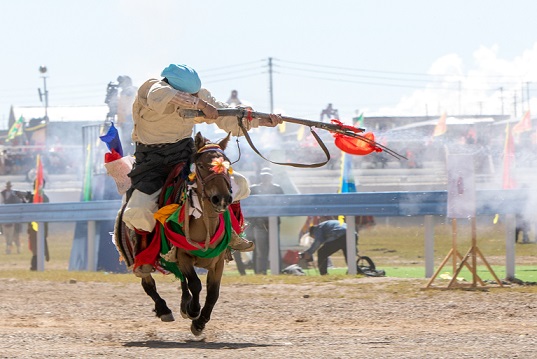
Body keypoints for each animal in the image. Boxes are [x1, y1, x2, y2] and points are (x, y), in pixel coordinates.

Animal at [115, 132, 234, 338]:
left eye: (226, 164)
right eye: (201, 165)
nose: (221, 199)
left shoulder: (217, 261)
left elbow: (213, 293)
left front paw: (199, 322)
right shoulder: (183, 256)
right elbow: (195, 284)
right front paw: (194, 311)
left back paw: (183, 305)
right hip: (139, 256)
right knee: (148, 282)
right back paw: (164, 309)